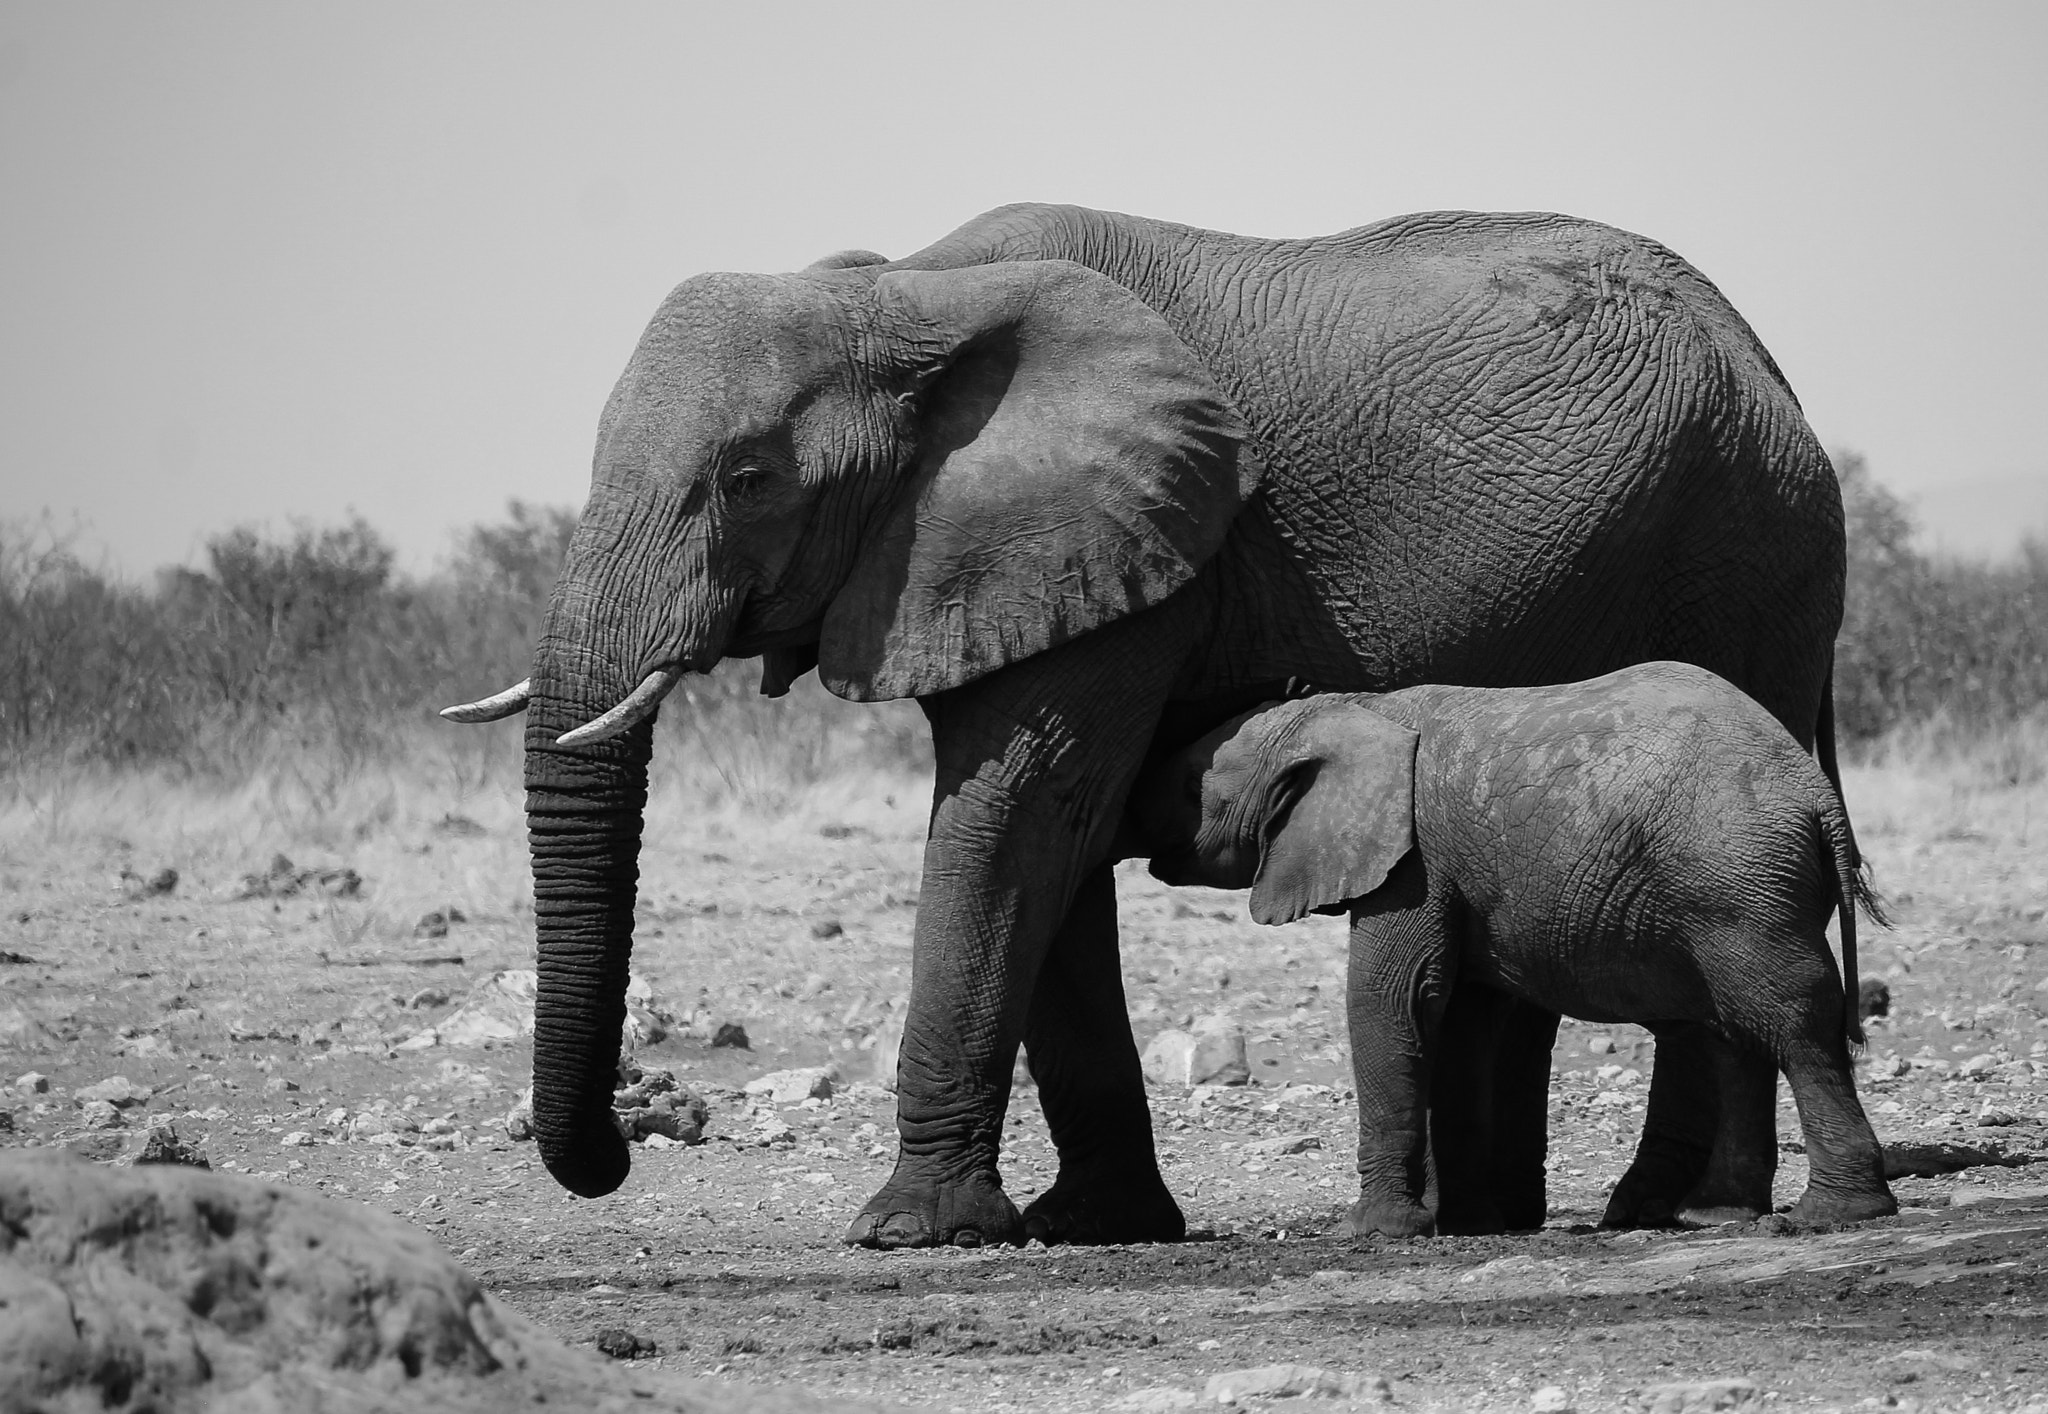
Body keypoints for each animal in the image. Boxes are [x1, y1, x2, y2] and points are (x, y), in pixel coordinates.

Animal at [1127, 663, 1897, 1235]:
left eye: (1192, 784)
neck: (1350, 709)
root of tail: (1819, 796)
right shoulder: (1453, 876)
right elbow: (1460, 1019)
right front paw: (1471, 1224)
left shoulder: (1415, 862)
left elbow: (1391, 999)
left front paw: (1373, 1232)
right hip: (1734, 887)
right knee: (1738, 1031)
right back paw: (1716, 1217)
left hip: (1736, 879)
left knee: (1792, 1022)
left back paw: (1834, 1214)